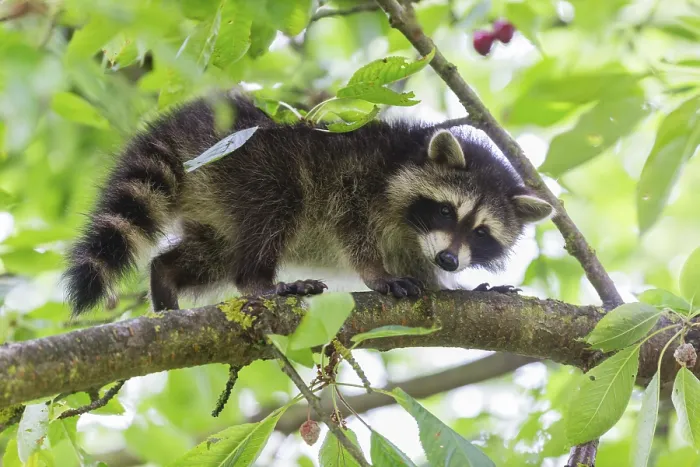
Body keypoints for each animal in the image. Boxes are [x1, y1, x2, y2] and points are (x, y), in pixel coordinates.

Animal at [63, 91, 554, 315]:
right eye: (447, 211)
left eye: (481, 233)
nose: (451, 260)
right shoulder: (358, 183)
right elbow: (354, 231)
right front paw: (377, 273)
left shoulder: (418, 242)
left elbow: (424, 273)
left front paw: (455, 287)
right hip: (253, 165)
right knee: (275, 211)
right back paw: (257, 282)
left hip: (217, 200)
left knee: (212, 253)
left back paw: (166, 276)